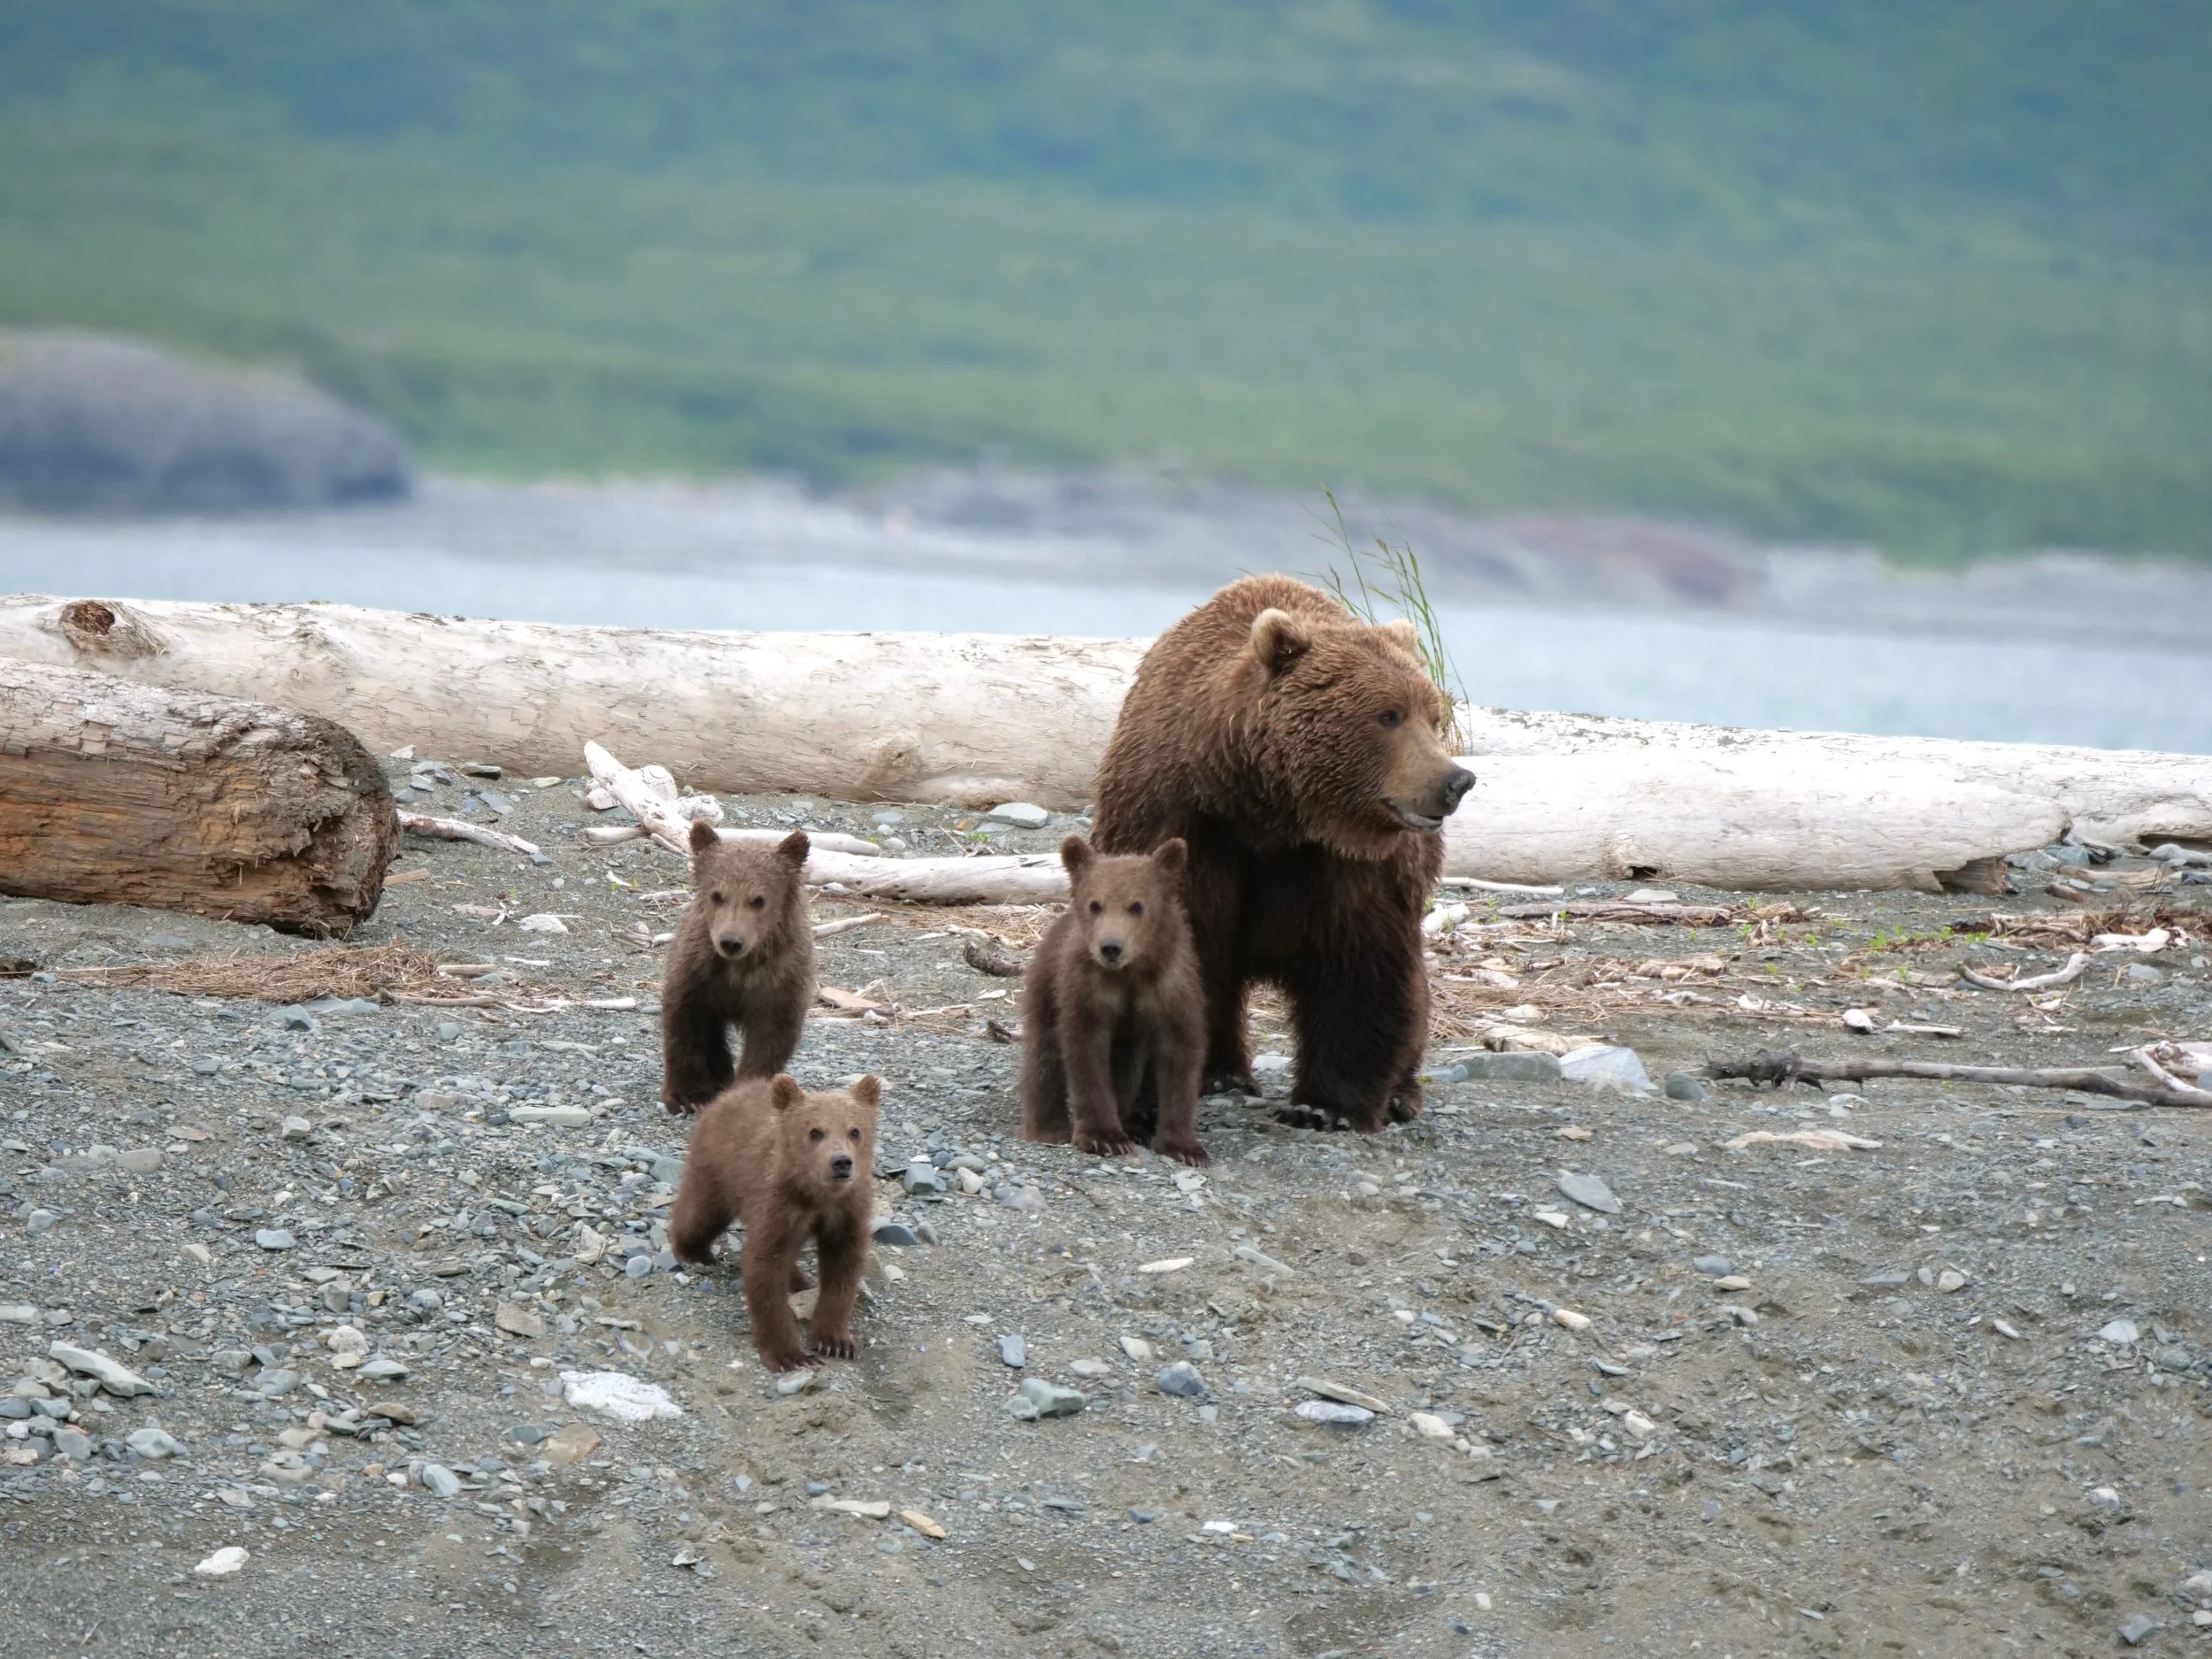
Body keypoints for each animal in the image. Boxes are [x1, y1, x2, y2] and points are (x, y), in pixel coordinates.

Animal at [659, 821, 814, 1113]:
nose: (731, 941)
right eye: (718, 895)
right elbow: (684, 1022)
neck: (740, 967)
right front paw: (687, 1095)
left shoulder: (780, 981)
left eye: (758, 900)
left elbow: (770, 1038)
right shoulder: (697, 972)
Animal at [668, 1072, 879, 1372]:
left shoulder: (848, 1211)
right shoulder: (777, 1205)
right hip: (716, 1168)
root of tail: (733, 1091)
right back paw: (693, 1250)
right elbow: (765, 1264)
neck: (818, 1195)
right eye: (815, 1131)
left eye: (855, 1130)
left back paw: (800, 1282)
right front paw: (789, 1354)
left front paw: (835, 1341)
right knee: (700, 1214)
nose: (841, 1162)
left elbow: (843, 1267)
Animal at [1019, 834, 1208, 1165]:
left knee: (1125, 1068)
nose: (1110, 947)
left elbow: (1179, 1056)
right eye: (1095, 904)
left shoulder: (1171, 990)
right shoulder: (1088, 990)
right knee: (1044, 1055)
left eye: (1137, 906)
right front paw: (1104, 1137)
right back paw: (1047, 1127)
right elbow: (1086, 1053)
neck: (1130, 974)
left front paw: (1186, 1148)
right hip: (1046, 988)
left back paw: (1131, 1124)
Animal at [1091, 574, 1474, 1133]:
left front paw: (1324, 1106)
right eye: (1388, 714)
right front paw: (1148, 1100)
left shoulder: (1353, 863)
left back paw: (1403, 1095)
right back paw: (1221, 1074)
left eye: (1434, 715)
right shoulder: (1178, 823)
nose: (1456, 780)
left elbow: (1360, 963)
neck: (1271, 811)